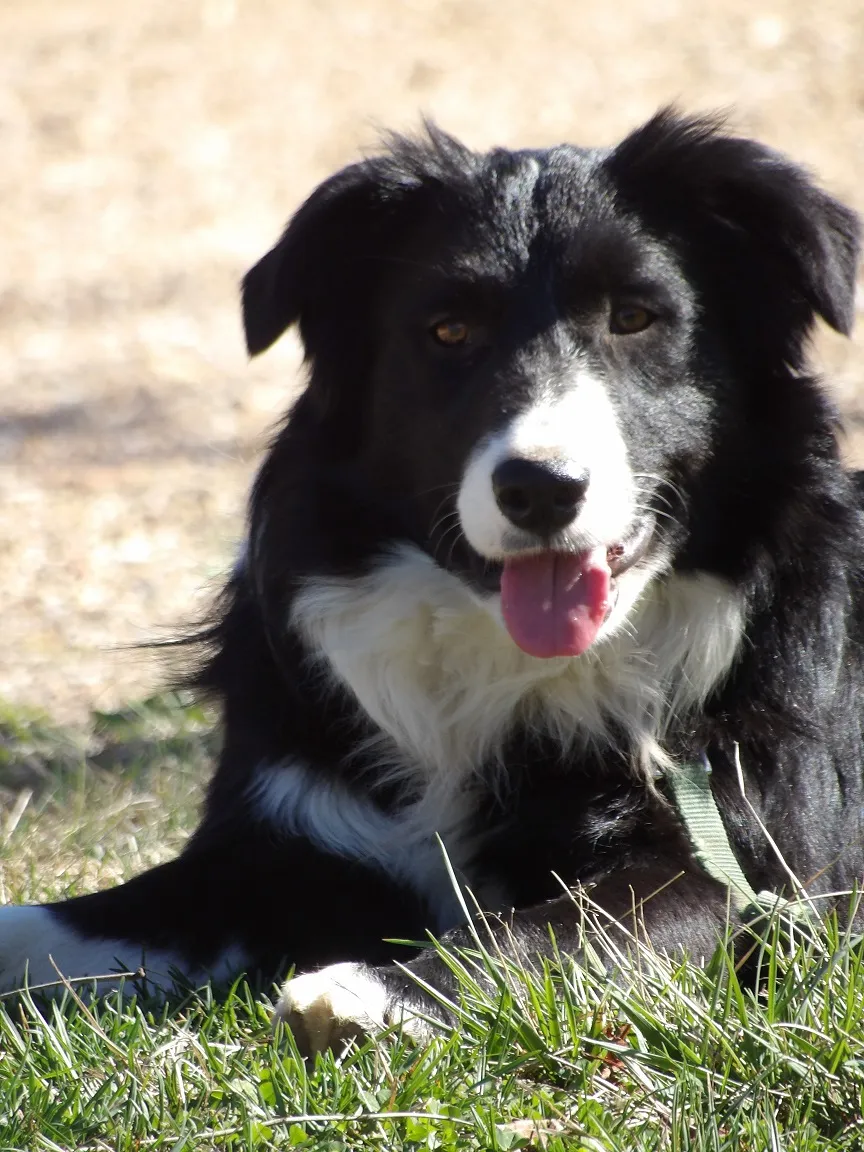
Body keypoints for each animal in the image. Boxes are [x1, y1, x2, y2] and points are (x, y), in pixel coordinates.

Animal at [1, 108, 864, 1055]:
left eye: (636, 317)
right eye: (449, 332)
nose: (541, 489)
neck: (508, 667)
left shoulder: (748, 867)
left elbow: (562, 925)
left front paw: (371, 991)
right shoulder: (287, 833)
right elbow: (70, 920)